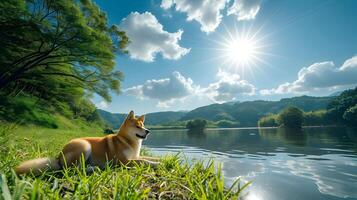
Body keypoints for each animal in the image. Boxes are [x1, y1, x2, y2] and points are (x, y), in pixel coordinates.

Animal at [15, 111, 159, 175]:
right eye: (137, 126)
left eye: (143, 125)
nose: (148, 131)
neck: (127, 140)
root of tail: (59, 157)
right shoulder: (124, 161)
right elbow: (144, 161)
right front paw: (156, 164)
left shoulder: (135, 156)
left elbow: (148, 157)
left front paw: (161, 160)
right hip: (84, 146)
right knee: (73, 169)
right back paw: (94, 168)